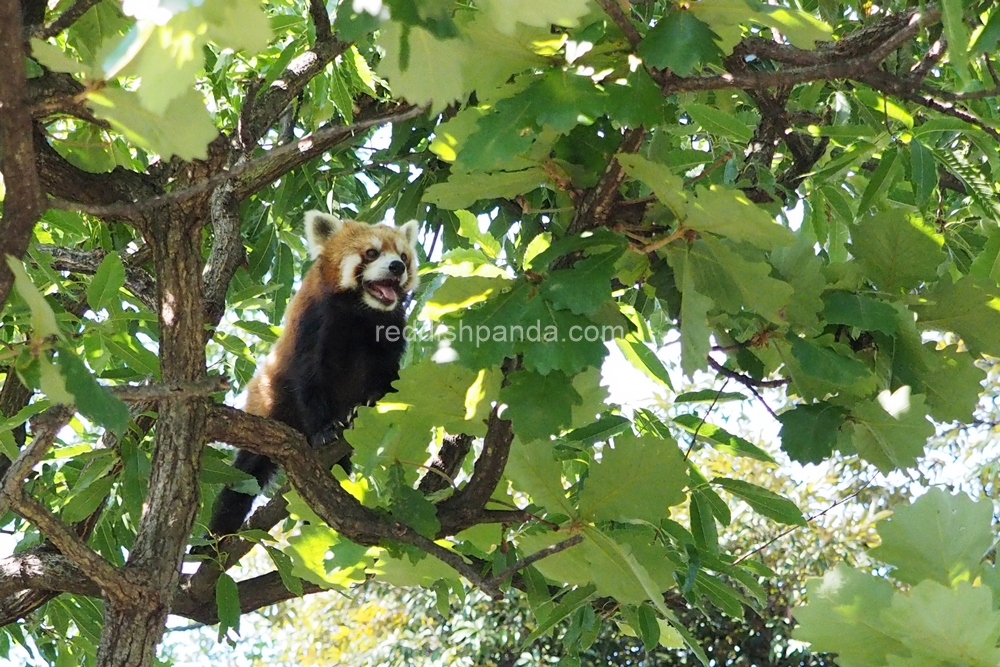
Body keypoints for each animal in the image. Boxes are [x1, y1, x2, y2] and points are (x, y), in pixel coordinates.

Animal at [207, 211, 418, 540]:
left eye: (404, 256)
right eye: (372, 253)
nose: (397, 267)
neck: (360, 311)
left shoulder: (388, 329)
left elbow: (386, 376)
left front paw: (374, 400)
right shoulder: (313, 323)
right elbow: (309, 380)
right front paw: (324, 430)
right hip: (270, 408)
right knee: (244, 478)